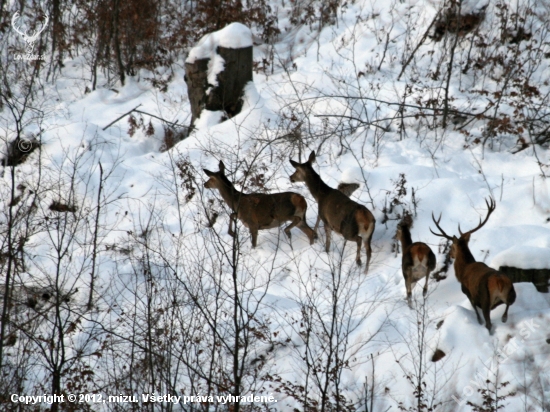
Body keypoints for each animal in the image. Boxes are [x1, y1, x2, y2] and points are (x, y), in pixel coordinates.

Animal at [432, 198, 516, 334]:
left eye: (451, 247)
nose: (449, 254)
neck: (461, 272)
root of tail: (500, 281)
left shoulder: (468, 293)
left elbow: (477, 314)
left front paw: (478, 321)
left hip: (486, 298)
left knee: (488, 323)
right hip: (512, 292)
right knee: (508, 305)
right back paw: (503, 318)